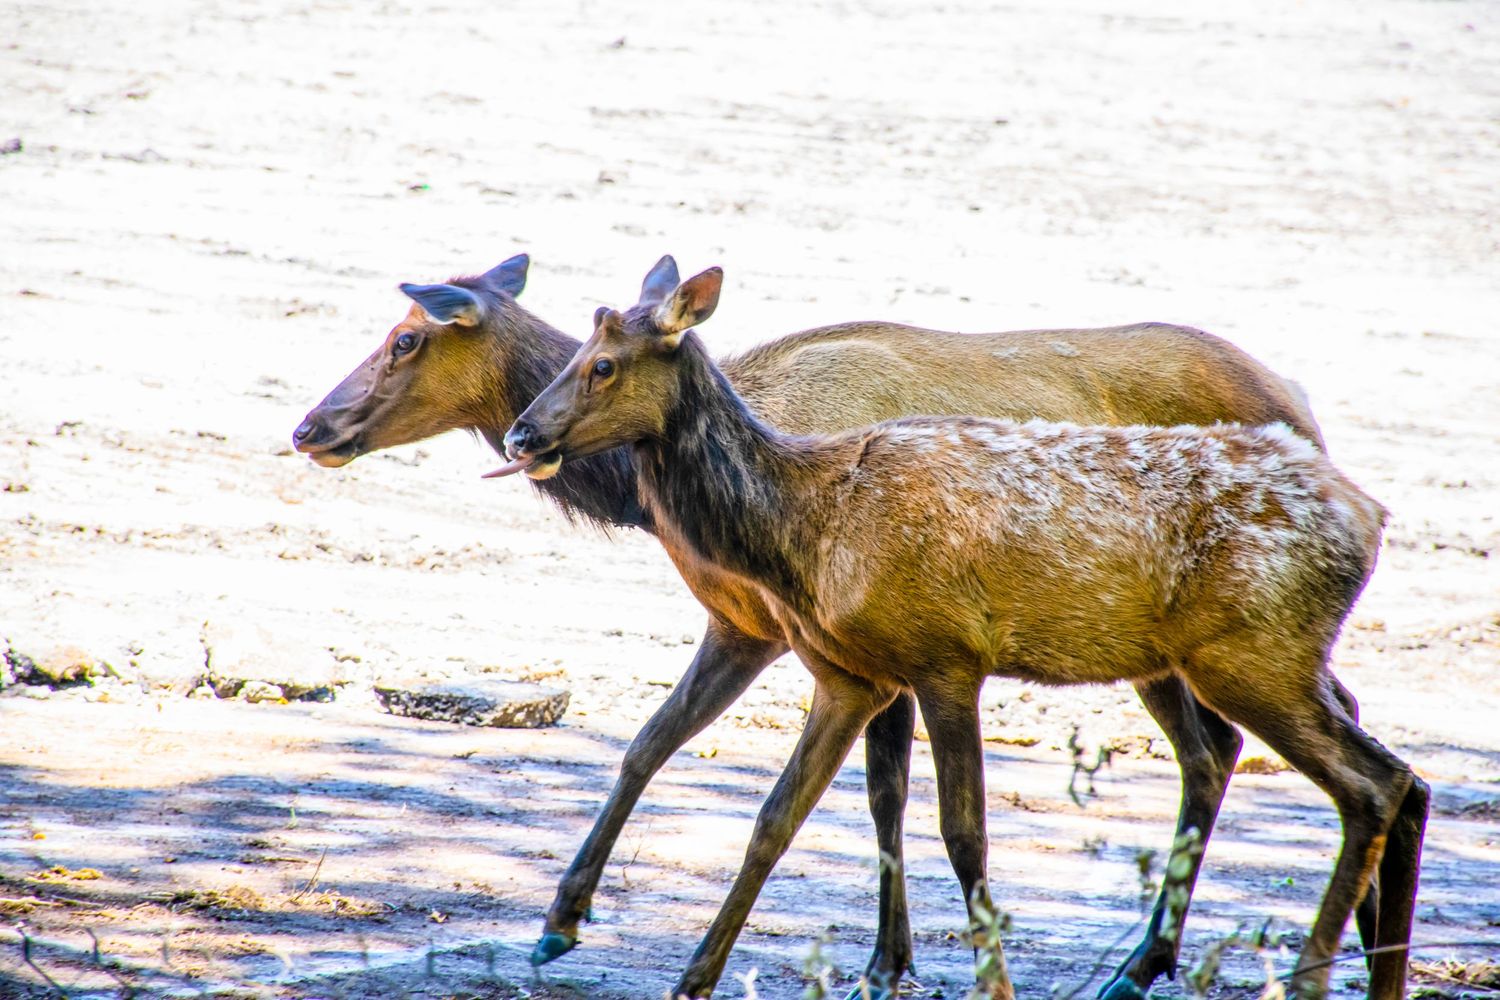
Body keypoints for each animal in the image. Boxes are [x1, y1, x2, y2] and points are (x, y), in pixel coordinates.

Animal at [294, 253, 1380, 1000]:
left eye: (406, 339)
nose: (310, 426)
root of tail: (1309, 411)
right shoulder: (777, 633)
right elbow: (664, 749)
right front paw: (566, 916)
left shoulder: (814, 637)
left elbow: (877, 793)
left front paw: (883, 960)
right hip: (1177, 645)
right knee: (1254, 742)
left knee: (1262, 745)